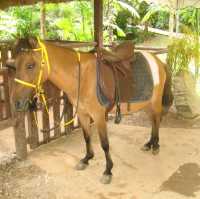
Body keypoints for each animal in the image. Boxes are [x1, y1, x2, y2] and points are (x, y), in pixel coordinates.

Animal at [8, 38, 173, 184]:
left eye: (30, 65)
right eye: (15, 65)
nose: (16, 103)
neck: (81, 77)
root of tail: (159, 61)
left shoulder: (99, 117)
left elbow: (105, 144)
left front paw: (108, 171)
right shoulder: (82, 114)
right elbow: (87, 137)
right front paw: (86, 159)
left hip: (155, 102)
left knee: (157, 120)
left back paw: (155, 146)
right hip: (147, 104)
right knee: (153, 121)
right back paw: (150, 144)